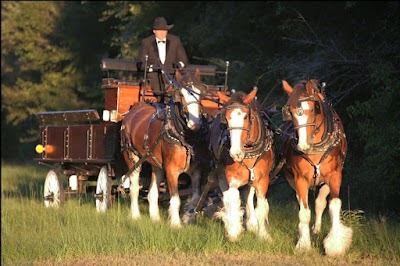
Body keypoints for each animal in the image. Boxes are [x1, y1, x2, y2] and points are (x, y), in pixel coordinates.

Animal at [120, 67, 209, 228]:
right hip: (131, 157)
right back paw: (135, 215)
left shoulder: (197, 170)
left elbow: (196, 197)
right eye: (181, 94)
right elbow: (176, 199)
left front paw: (188, 219)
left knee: (152, 193)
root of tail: (134, 110)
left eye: (201, 92)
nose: (195, 124)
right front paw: (176, 224)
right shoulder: (171, 170)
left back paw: (155, 218)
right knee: (134, 187)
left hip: (157, 164)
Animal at [209, 88, 276, 241]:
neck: (248, 151)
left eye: (245, 117)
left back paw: (252, 223)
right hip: (220, 173)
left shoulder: (262, 180)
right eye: (227, 118)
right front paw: (234, 231)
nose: (235, 153)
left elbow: (260, 206)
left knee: (249, 196)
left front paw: (263, 235)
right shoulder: (232, 178)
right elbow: (232, 199)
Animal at [280, 79, 352, 256]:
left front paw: (335, 245)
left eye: (312, 109)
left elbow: (333, 206)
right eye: (290, 112)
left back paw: (316, 230)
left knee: (320, 202)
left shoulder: (335, 175)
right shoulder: (300, 179)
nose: (302, 146)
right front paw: (303, 244)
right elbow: (304, 212)